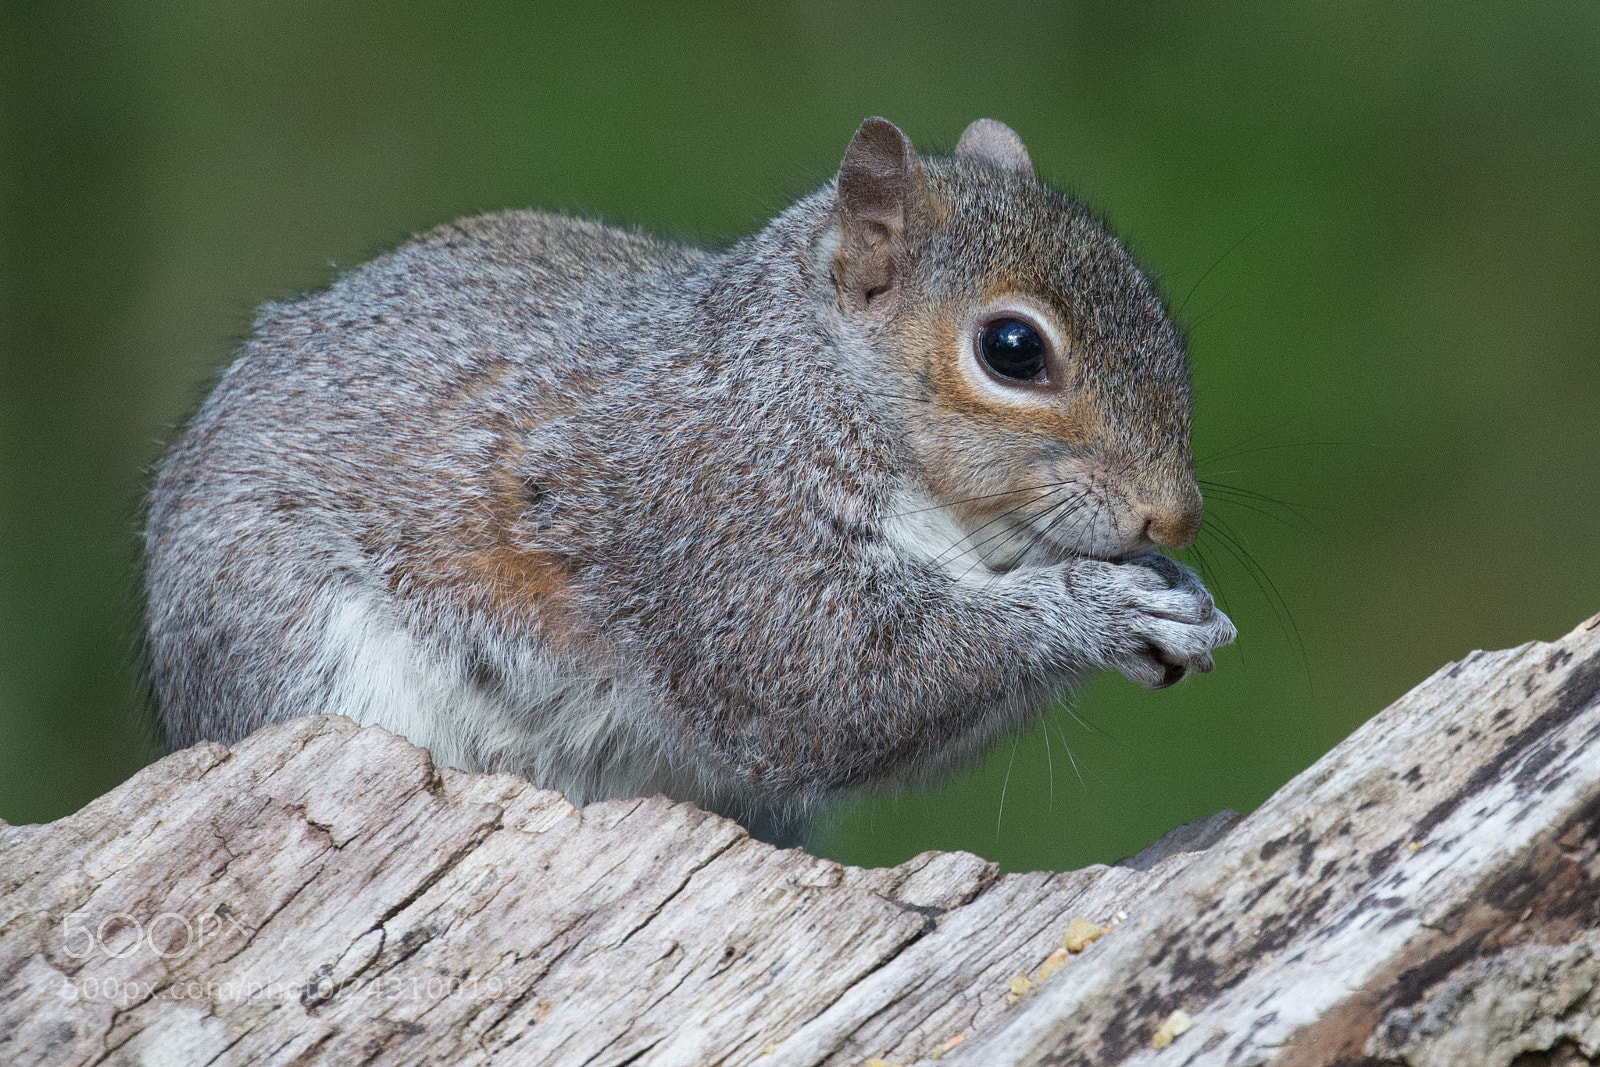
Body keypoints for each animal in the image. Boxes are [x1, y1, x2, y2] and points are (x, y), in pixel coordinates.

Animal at [142, 118, 1236, 845]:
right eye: (1012, 349)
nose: (1175, 517)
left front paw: (1181, 596)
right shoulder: (711, 518)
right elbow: (832, 683)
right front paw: (1101, 608)